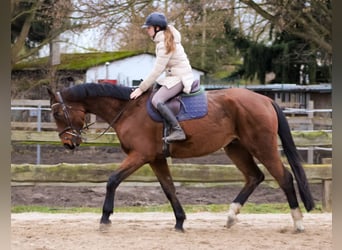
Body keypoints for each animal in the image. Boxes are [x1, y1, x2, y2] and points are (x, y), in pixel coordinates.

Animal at [46, 83, 314, 231]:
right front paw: (180, 221)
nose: (68, 143)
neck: (128, 110)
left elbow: (112, 180)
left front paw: (105, 218)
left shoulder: (140, 155)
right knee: (254, 177)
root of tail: (265, 99)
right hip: (236, 148)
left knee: (284, 178)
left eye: (58, 113)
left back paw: (299, 223)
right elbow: (169, 188)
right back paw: (230, 217)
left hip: (262, 147)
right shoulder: (155, 159)